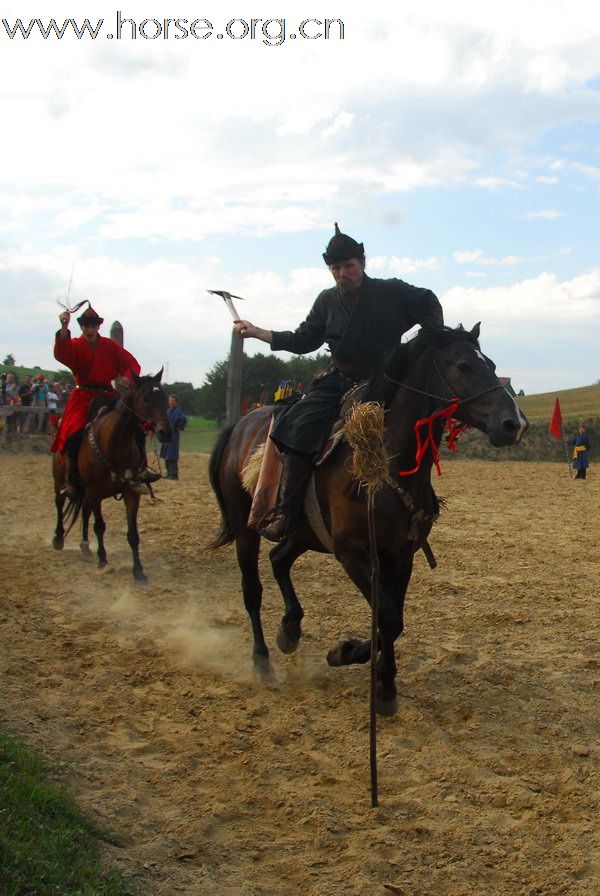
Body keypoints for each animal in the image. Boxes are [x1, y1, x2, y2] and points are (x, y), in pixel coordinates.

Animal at [51, 370, 171, 584]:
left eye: (165, 398)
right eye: (145, 398)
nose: (165, 432)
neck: (114, 444)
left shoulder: (131, 493)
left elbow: (132, 534)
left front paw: (138, 571)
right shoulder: (94, 492)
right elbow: (99, 526)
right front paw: (103, 561)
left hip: (87, 495)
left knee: (84, 512)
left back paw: (85, 547)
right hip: (61, 481)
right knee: (59, 502)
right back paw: (58, 538)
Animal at [209, 326, 528, 716]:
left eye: (492, 365)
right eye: (464, 365)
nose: (514, 424)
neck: (384, 463)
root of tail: (239, 425)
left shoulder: (400, 555)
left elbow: (393, 622)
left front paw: (373, 674)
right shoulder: (354, 554)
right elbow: (387, 617)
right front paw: (365, 668)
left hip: (304, 533)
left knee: (279, 559)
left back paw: (290, 630)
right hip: (246, 527)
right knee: (252, 591)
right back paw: (262, 662)